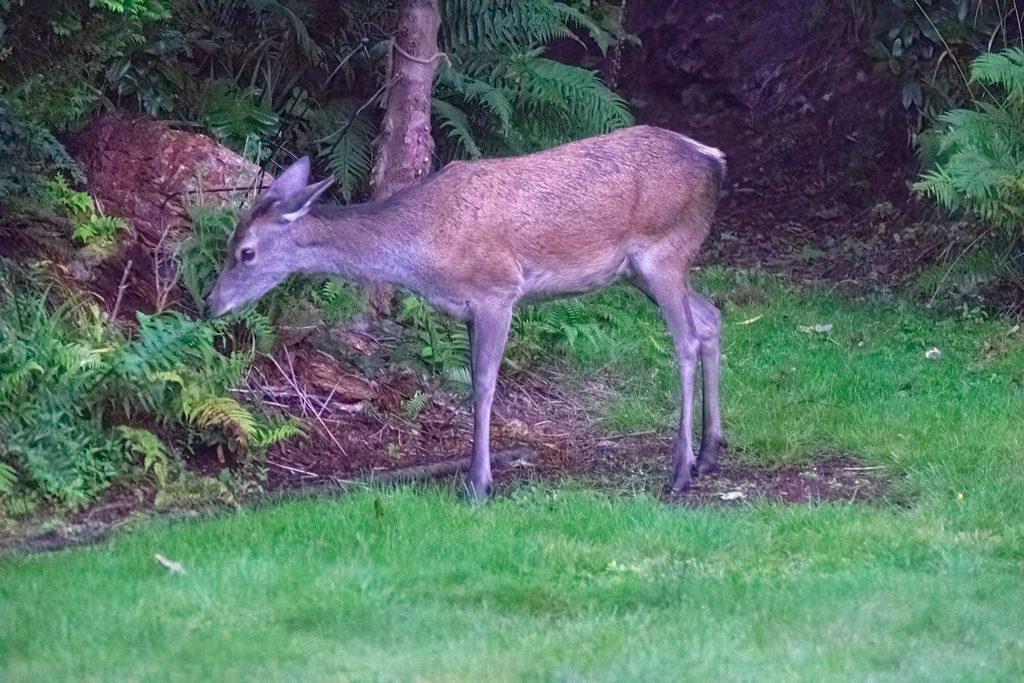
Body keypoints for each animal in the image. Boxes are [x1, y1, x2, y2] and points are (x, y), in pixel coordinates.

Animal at [206, 125, 726, 501]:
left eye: (246, 252)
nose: (211, 303)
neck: (423, 247)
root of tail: (712, 158)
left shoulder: (498, 290)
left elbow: (483, 383)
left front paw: (478, 484)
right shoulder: (468, 309)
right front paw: (476, 475)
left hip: (663, 251)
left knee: (685, 340)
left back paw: (679, 473)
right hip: (641, 270)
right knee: (711, 317)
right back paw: (709, 453)